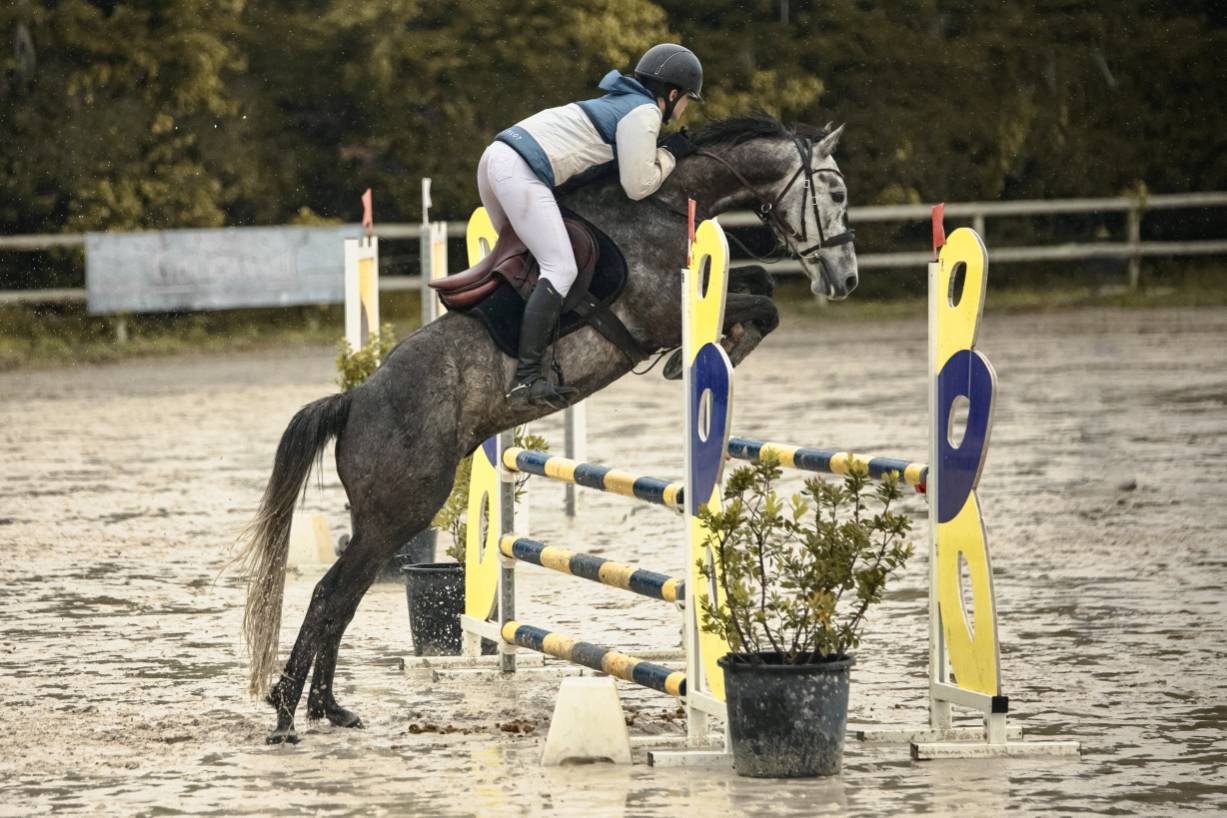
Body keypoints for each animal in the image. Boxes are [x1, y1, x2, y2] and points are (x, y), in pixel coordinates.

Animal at [238, 115, 858, 744]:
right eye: (836, 193)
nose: (845, 279)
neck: (658, 206)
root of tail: (355, 399)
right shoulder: (661, 314)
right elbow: (761, 305)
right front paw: (696, 358)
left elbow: (760, 284)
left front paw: (705, 353)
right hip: (400, 512)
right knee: (331, 594)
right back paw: (287, 713)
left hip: (385, 518)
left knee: (343, 598)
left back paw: (327, 707)